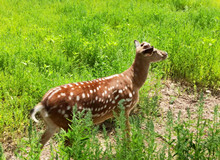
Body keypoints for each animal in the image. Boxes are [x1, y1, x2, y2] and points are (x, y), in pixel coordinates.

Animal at [31, 40, 168, 148]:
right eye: (154, 50)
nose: (165, 53)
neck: (134, 81)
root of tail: (42, 103)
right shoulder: (124, 108)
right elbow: (127, 131)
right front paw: (129, 149)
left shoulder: (116, 112)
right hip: (69, 122)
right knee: (66, 147)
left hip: (52, 124)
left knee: (39, 145)